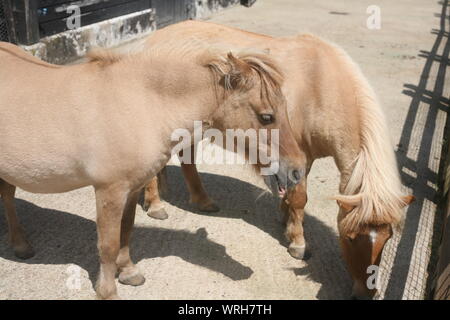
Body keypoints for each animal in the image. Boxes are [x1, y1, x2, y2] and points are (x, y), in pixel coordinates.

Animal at [0, 40, 306, 300]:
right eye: (267, 117)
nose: (297, 171)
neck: (141, 105)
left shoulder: (131, 189)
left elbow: (126, 233)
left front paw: (128, 273)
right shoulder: (109, 191)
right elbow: (108, 245)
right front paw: (107, 291)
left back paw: (20, 245)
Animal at [142, 21, 414, 298]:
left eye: (387, 238)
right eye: (349, 237)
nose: (365, 293)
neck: (320, 86)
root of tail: (154, 40)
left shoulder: (301, 159)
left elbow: (293, 193)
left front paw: (286, 220)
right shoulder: (300, 154)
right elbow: (300, 198)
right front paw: (298, 242)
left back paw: (201, 200)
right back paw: (155, 205)